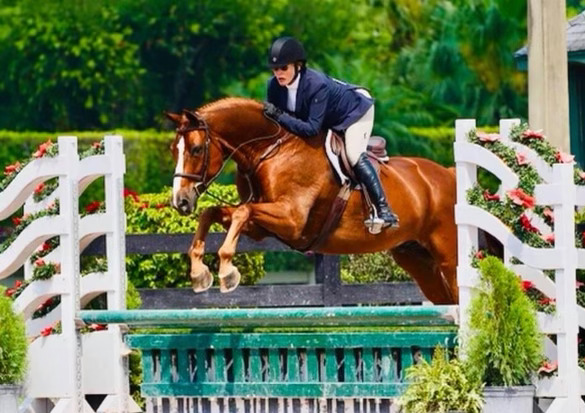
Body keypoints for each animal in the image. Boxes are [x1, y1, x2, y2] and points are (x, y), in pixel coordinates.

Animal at [167, 96, 458, 302]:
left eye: (196, 149)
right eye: (173, 150)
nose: (180, 201)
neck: (270, 150)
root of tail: (448, 173)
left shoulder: (291, 219)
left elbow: (242, 211)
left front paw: (227, 272)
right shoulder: (262, 227)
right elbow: (213, 213)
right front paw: (199, 273)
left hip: (449, 257)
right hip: (417, 259)